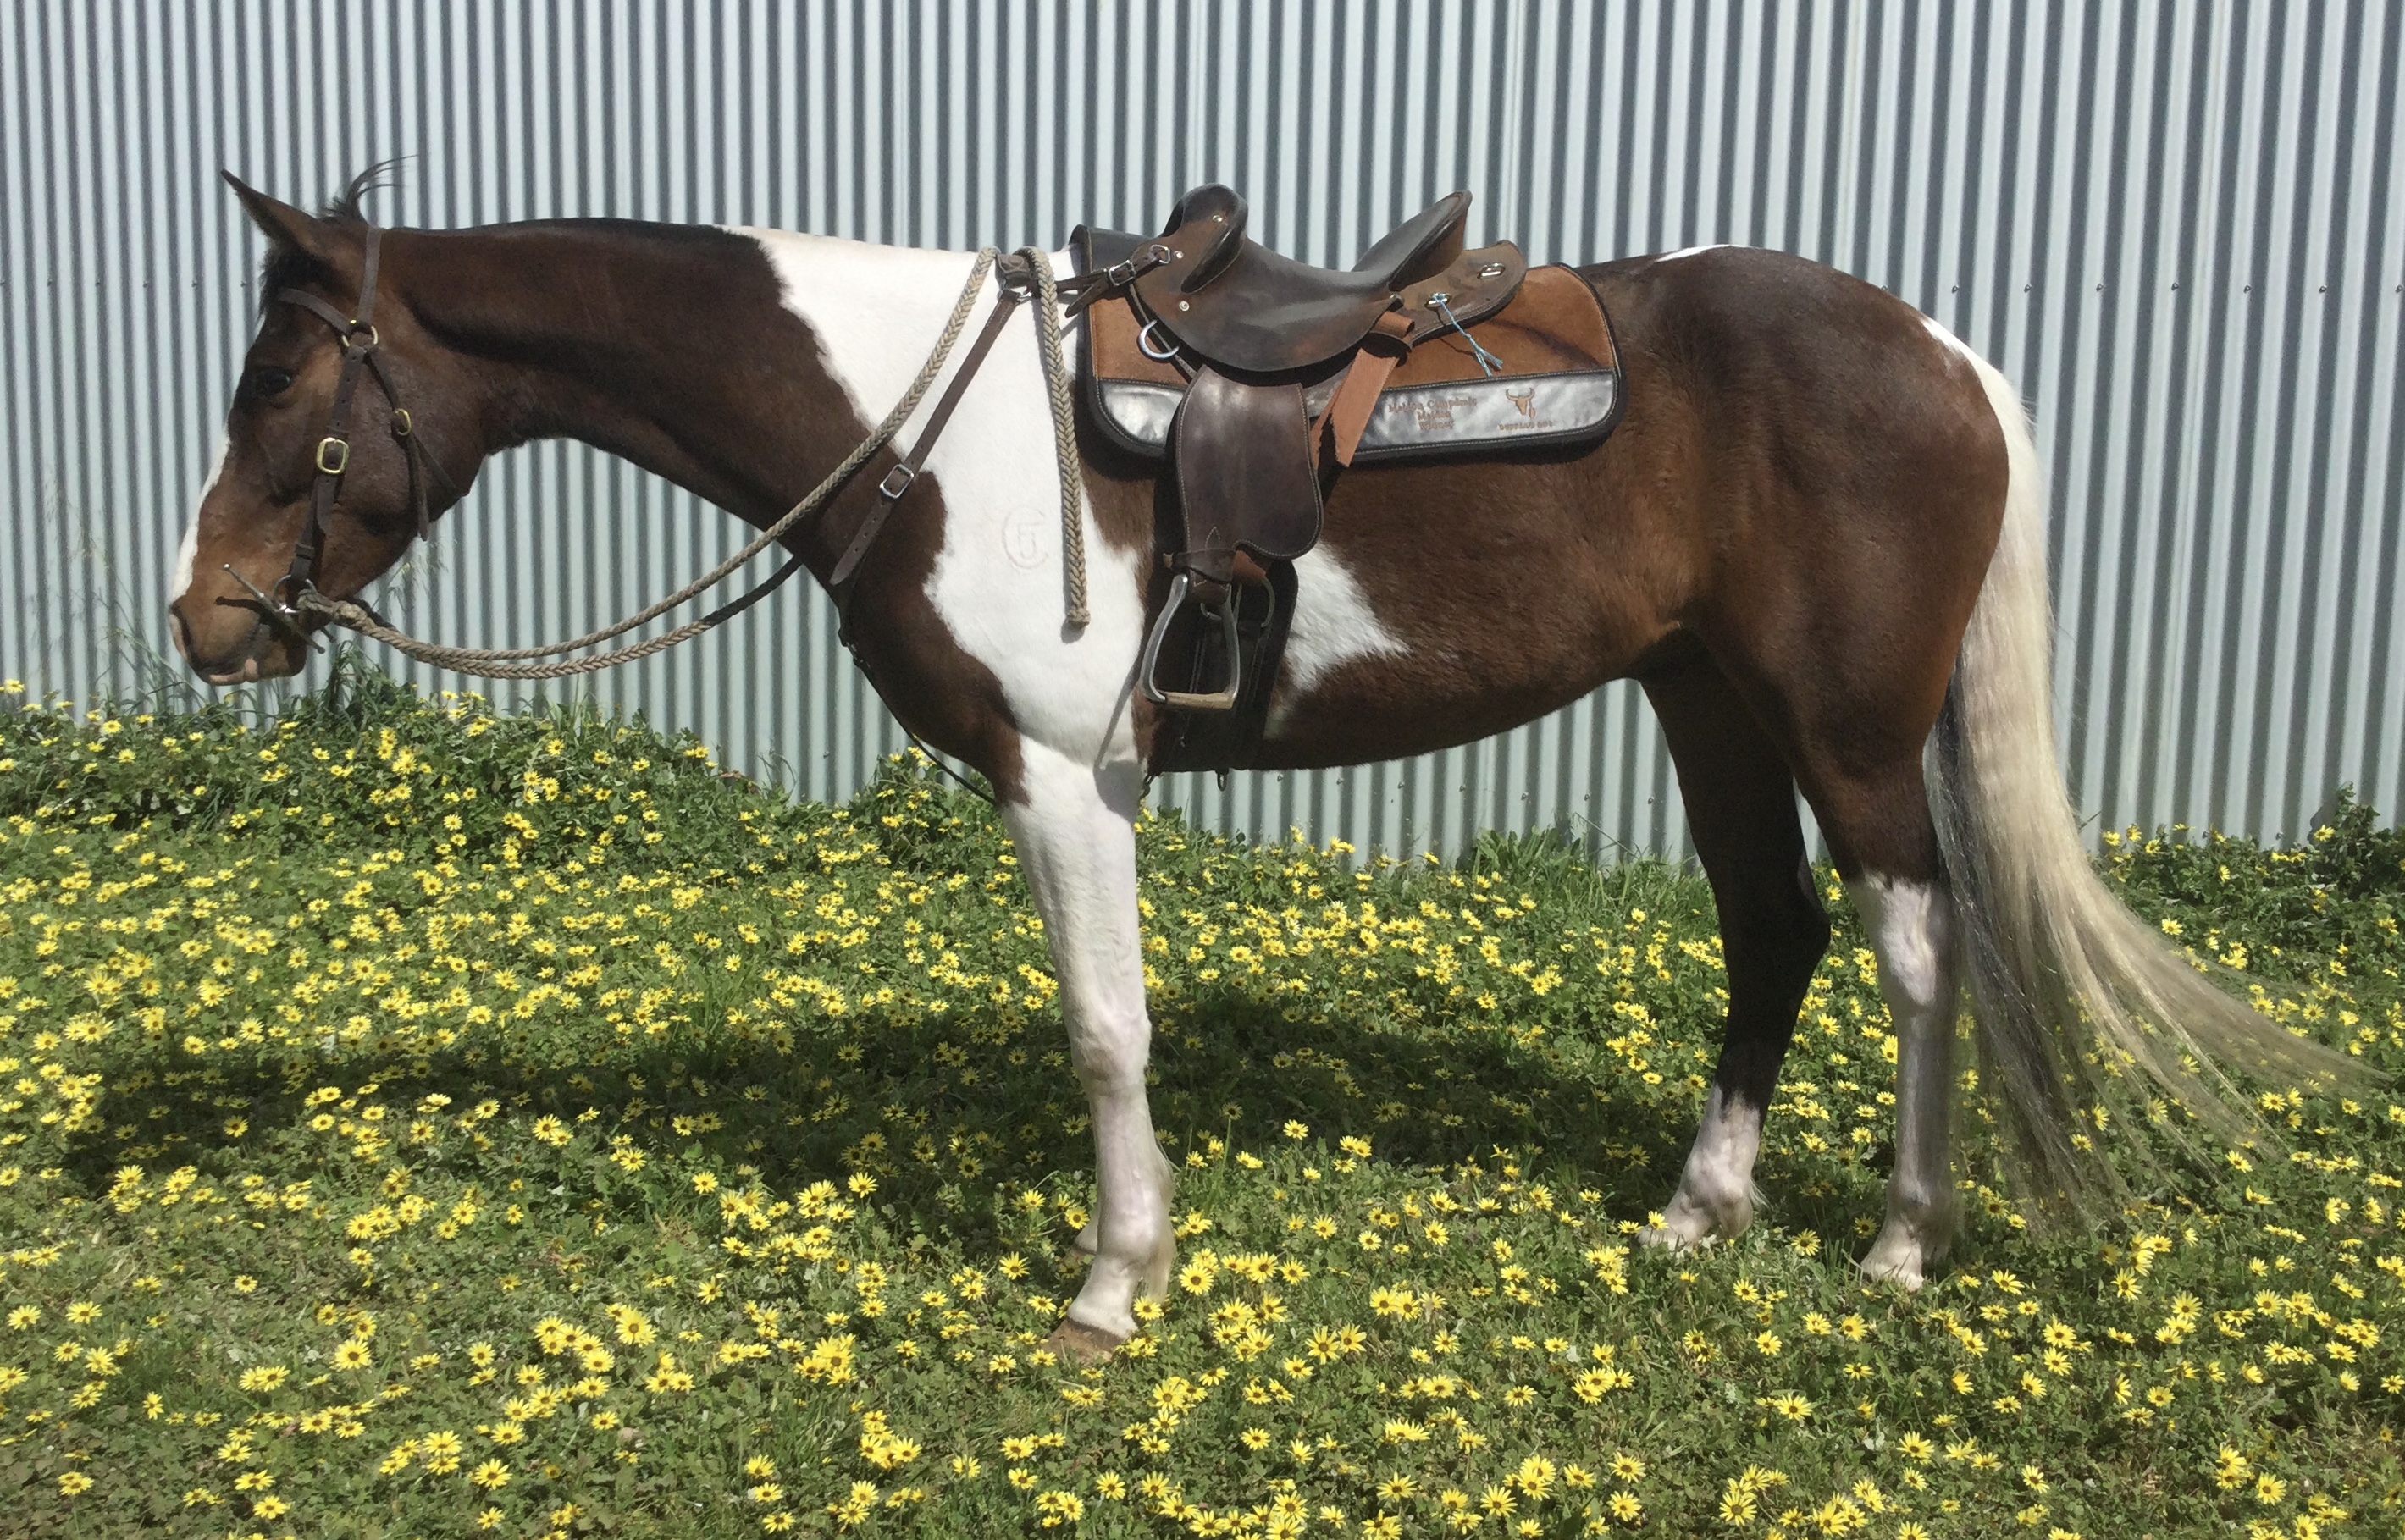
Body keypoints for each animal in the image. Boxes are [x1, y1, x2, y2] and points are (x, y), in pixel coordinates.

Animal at [169, 171, 2349, 1358]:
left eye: (281, 381)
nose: (209, 619)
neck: (910, 424)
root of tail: (1940, 353)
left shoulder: (1071, 779)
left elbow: (1106, 1033)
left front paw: (1109, 1283)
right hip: (1704, 701)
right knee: (1769, 931)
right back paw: (1694, 1215)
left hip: (1838, 722)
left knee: (1911, 945)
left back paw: (1899, 1241)